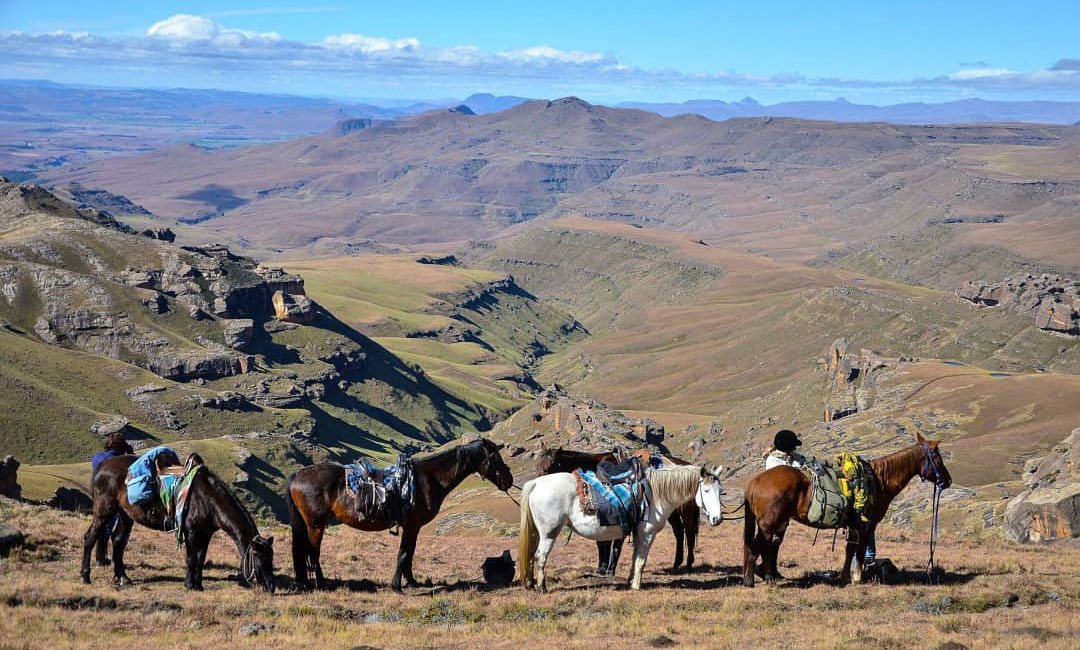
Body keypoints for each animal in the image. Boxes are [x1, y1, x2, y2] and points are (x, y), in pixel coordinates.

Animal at [84, 447, 278, 591]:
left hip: (125, 515)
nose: (271, 587)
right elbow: (191, 558)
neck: (209, 499)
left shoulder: (206, 534)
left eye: (271, 559)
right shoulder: (191, 532)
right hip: (104, 511)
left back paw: (122, 578)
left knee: (118, 541)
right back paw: (86, 576)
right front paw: (190, 585)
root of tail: (102, 467)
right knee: (90, 537)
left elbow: (201, 558)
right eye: (260, 560)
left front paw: (198, 585)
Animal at [516, 462, 721, 591]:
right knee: (540, 556)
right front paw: (636, 585)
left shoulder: (638, 533)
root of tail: (536, 483)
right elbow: (641, 560)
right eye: (706, 490)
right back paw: (542, 587)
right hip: (549, 532)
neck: (655, 493)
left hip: (538, 533)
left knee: (532, 555)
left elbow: (635, 557)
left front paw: (631, 581)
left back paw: (531, 584)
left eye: (721, 491)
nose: (717, 519)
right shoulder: (647, 533)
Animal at [537, 442, 704, 574]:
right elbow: (602, 541)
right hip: (672, 513)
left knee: (689, 533)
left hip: (687, 511)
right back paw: (676, 564)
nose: (538, 483)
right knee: (679, 532)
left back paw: (688, 564)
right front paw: (602, 567)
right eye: (538, 464)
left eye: (551, 465)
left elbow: (608, 542)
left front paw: (607, 568)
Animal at [743, 431, 954, 583]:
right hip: (768, 525)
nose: (948, 481)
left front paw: (845, 577)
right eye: (938, 458)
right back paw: (756, 580)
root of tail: (755, 482)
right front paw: (858, 578)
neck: (878, 481)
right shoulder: (867, 525)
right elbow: (859, 551)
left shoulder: (853, 525)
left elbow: (849, 550)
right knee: (758, 548)